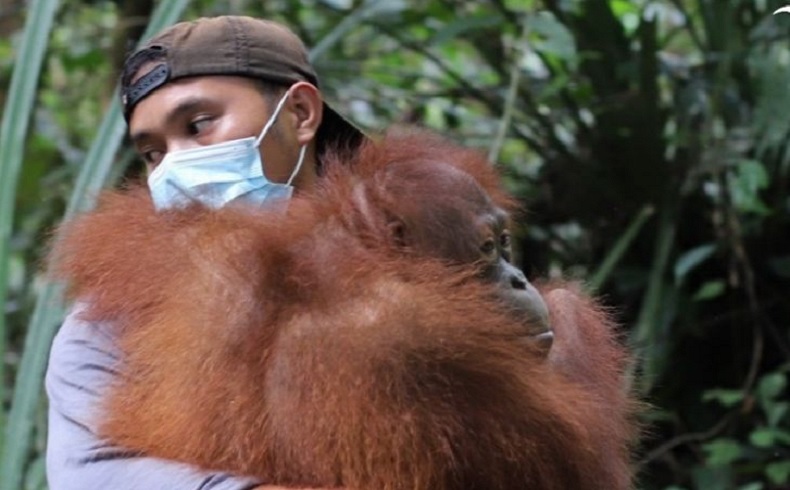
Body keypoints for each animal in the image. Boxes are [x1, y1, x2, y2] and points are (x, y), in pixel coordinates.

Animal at [49, 130, 637, 490]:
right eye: (489, 249)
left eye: (507, 244)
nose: (518, 279)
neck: (359, 260)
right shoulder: (414, 343)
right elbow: (579, 462)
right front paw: (565, 304)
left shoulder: (211, 251)